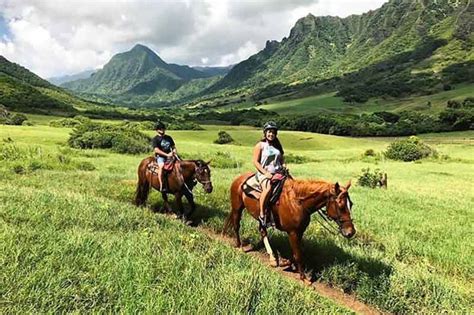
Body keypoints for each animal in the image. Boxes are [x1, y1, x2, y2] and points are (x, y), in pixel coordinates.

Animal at [226, 173, 356, 282]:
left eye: (351, 204)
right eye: (341, 205)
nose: (351, 232)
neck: (299, 203)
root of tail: (239, 178)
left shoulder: (300, 232)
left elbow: (297, 252)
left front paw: (286, 263)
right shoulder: (292, 232)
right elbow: (298, 254)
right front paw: (303, 278)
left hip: (260, 218)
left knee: (262, 231)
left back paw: (272, 258)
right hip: (237, 208)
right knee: (237, 226)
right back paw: (239, 246)